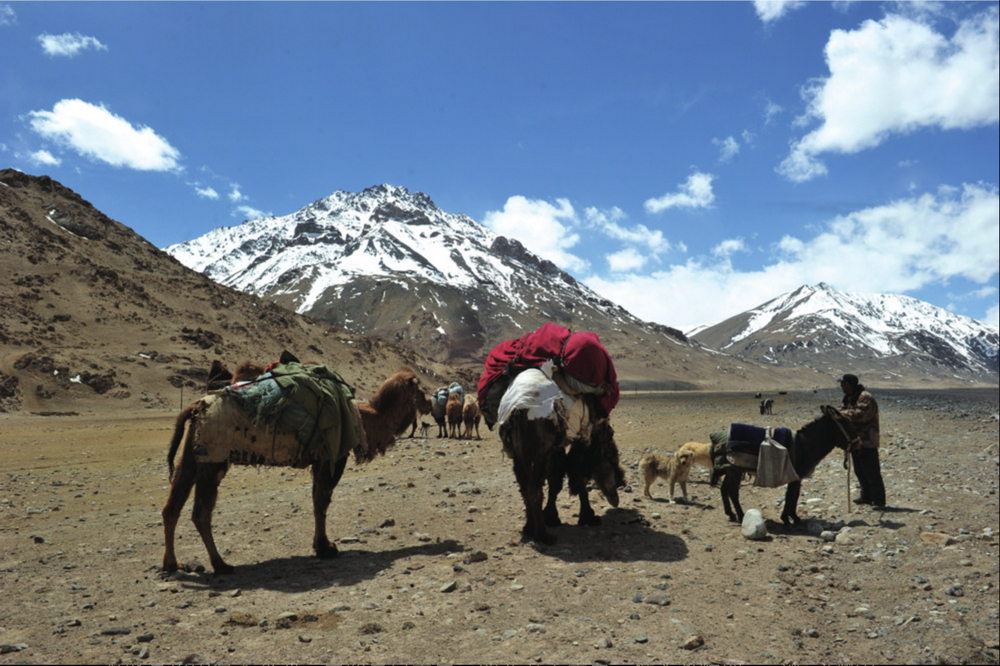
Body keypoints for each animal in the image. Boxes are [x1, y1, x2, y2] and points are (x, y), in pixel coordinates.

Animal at [160, 360, 430, 572]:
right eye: (421, 388)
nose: (428, 403)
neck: (364, 419)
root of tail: (194, 407)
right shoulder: (332, 458)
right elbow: (321, 503)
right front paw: (326, 548)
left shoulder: (320, 461)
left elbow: (316, 501)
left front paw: (321, 545)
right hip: (213, 460)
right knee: (200, 513)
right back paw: (220, 564)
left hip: (193, 457)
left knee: (172, 507)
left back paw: (173, 564)